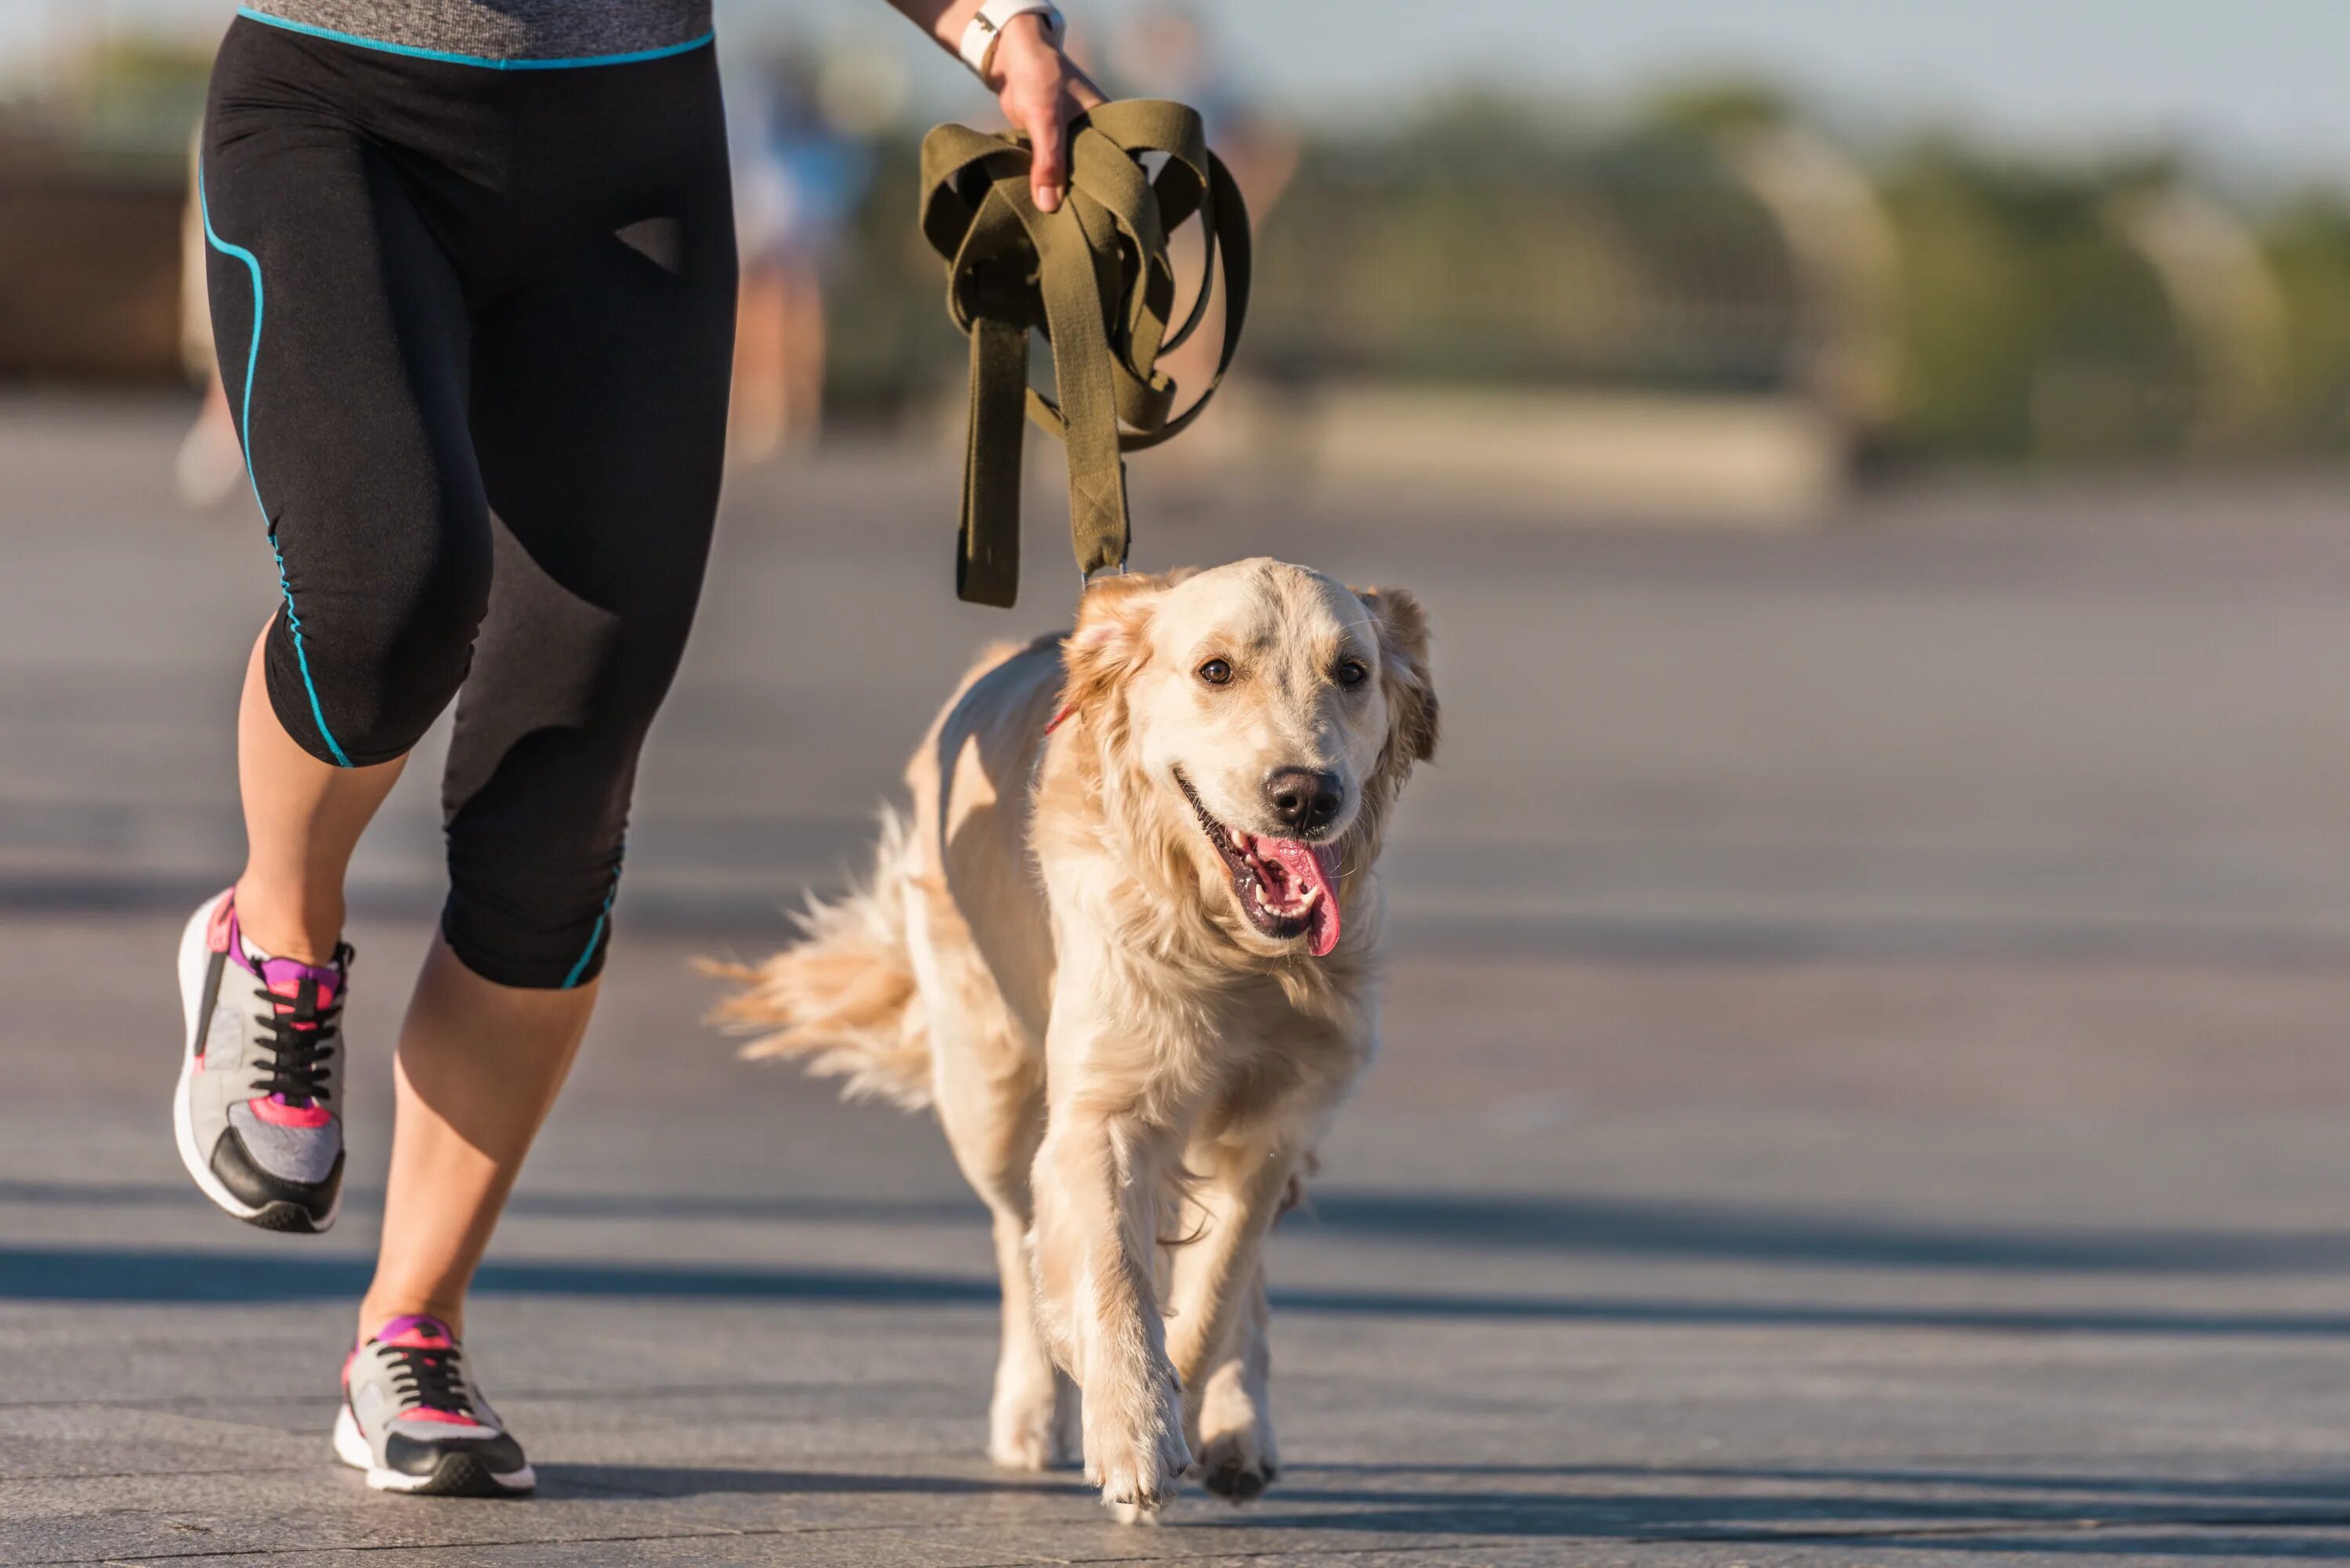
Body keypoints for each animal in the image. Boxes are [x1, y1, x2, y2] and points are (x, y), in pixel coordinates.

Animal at [700, 562, 1429, 1523]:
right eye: (1216, 671)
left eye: (1350, 673)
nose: (1308, 795)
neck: (1229, 948)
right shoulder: (1101, 1110)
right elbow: (1110, 1270)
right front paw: (1129, 1425)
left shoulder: (1276, 1125)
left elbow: (1219, 1288)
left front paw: (1183, 1404)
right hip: (991, 1101)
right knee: (1018, 1239)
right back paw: (1030, 1408)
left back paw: (1239, 1427)